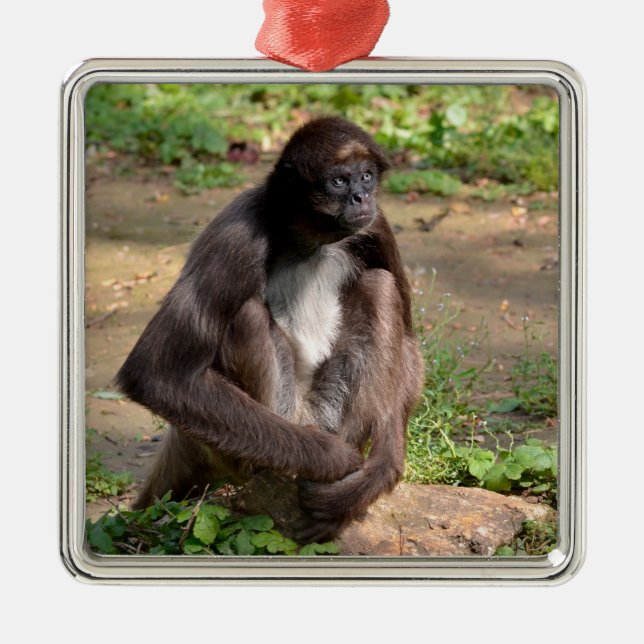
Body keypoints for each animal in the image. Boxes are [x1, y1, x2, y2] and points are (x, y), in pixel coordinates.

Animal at [116, 116, 423, 543]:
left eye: (366, 176)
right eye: (339, 181)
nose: (362, 197)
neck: (311, 240)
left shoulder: (375, 224)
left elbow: (409, 339)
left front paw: (377, 471)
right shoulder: (238, 234)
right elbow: (154, 372)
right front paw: (332, 458)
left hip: (328, 409)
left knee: (378, 285)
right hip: (261, 431)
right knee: (246, 314)